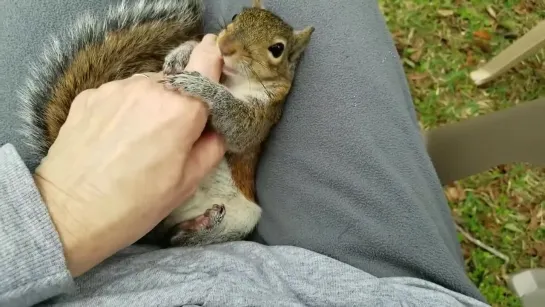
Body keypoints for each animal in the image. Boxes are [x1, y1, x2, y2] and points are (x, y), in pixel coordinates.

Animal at [17, 0, 312, 248]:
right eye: (236, 16)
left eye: (277, 49)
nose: (225, 46)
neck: (234, 79)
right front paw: (181, 53)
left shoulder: (263, 119)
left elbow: (238, 126)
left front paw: (202, 86)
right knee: (164, 236)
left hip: (244, 216)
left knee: (174, 240)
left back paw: (200, 226)